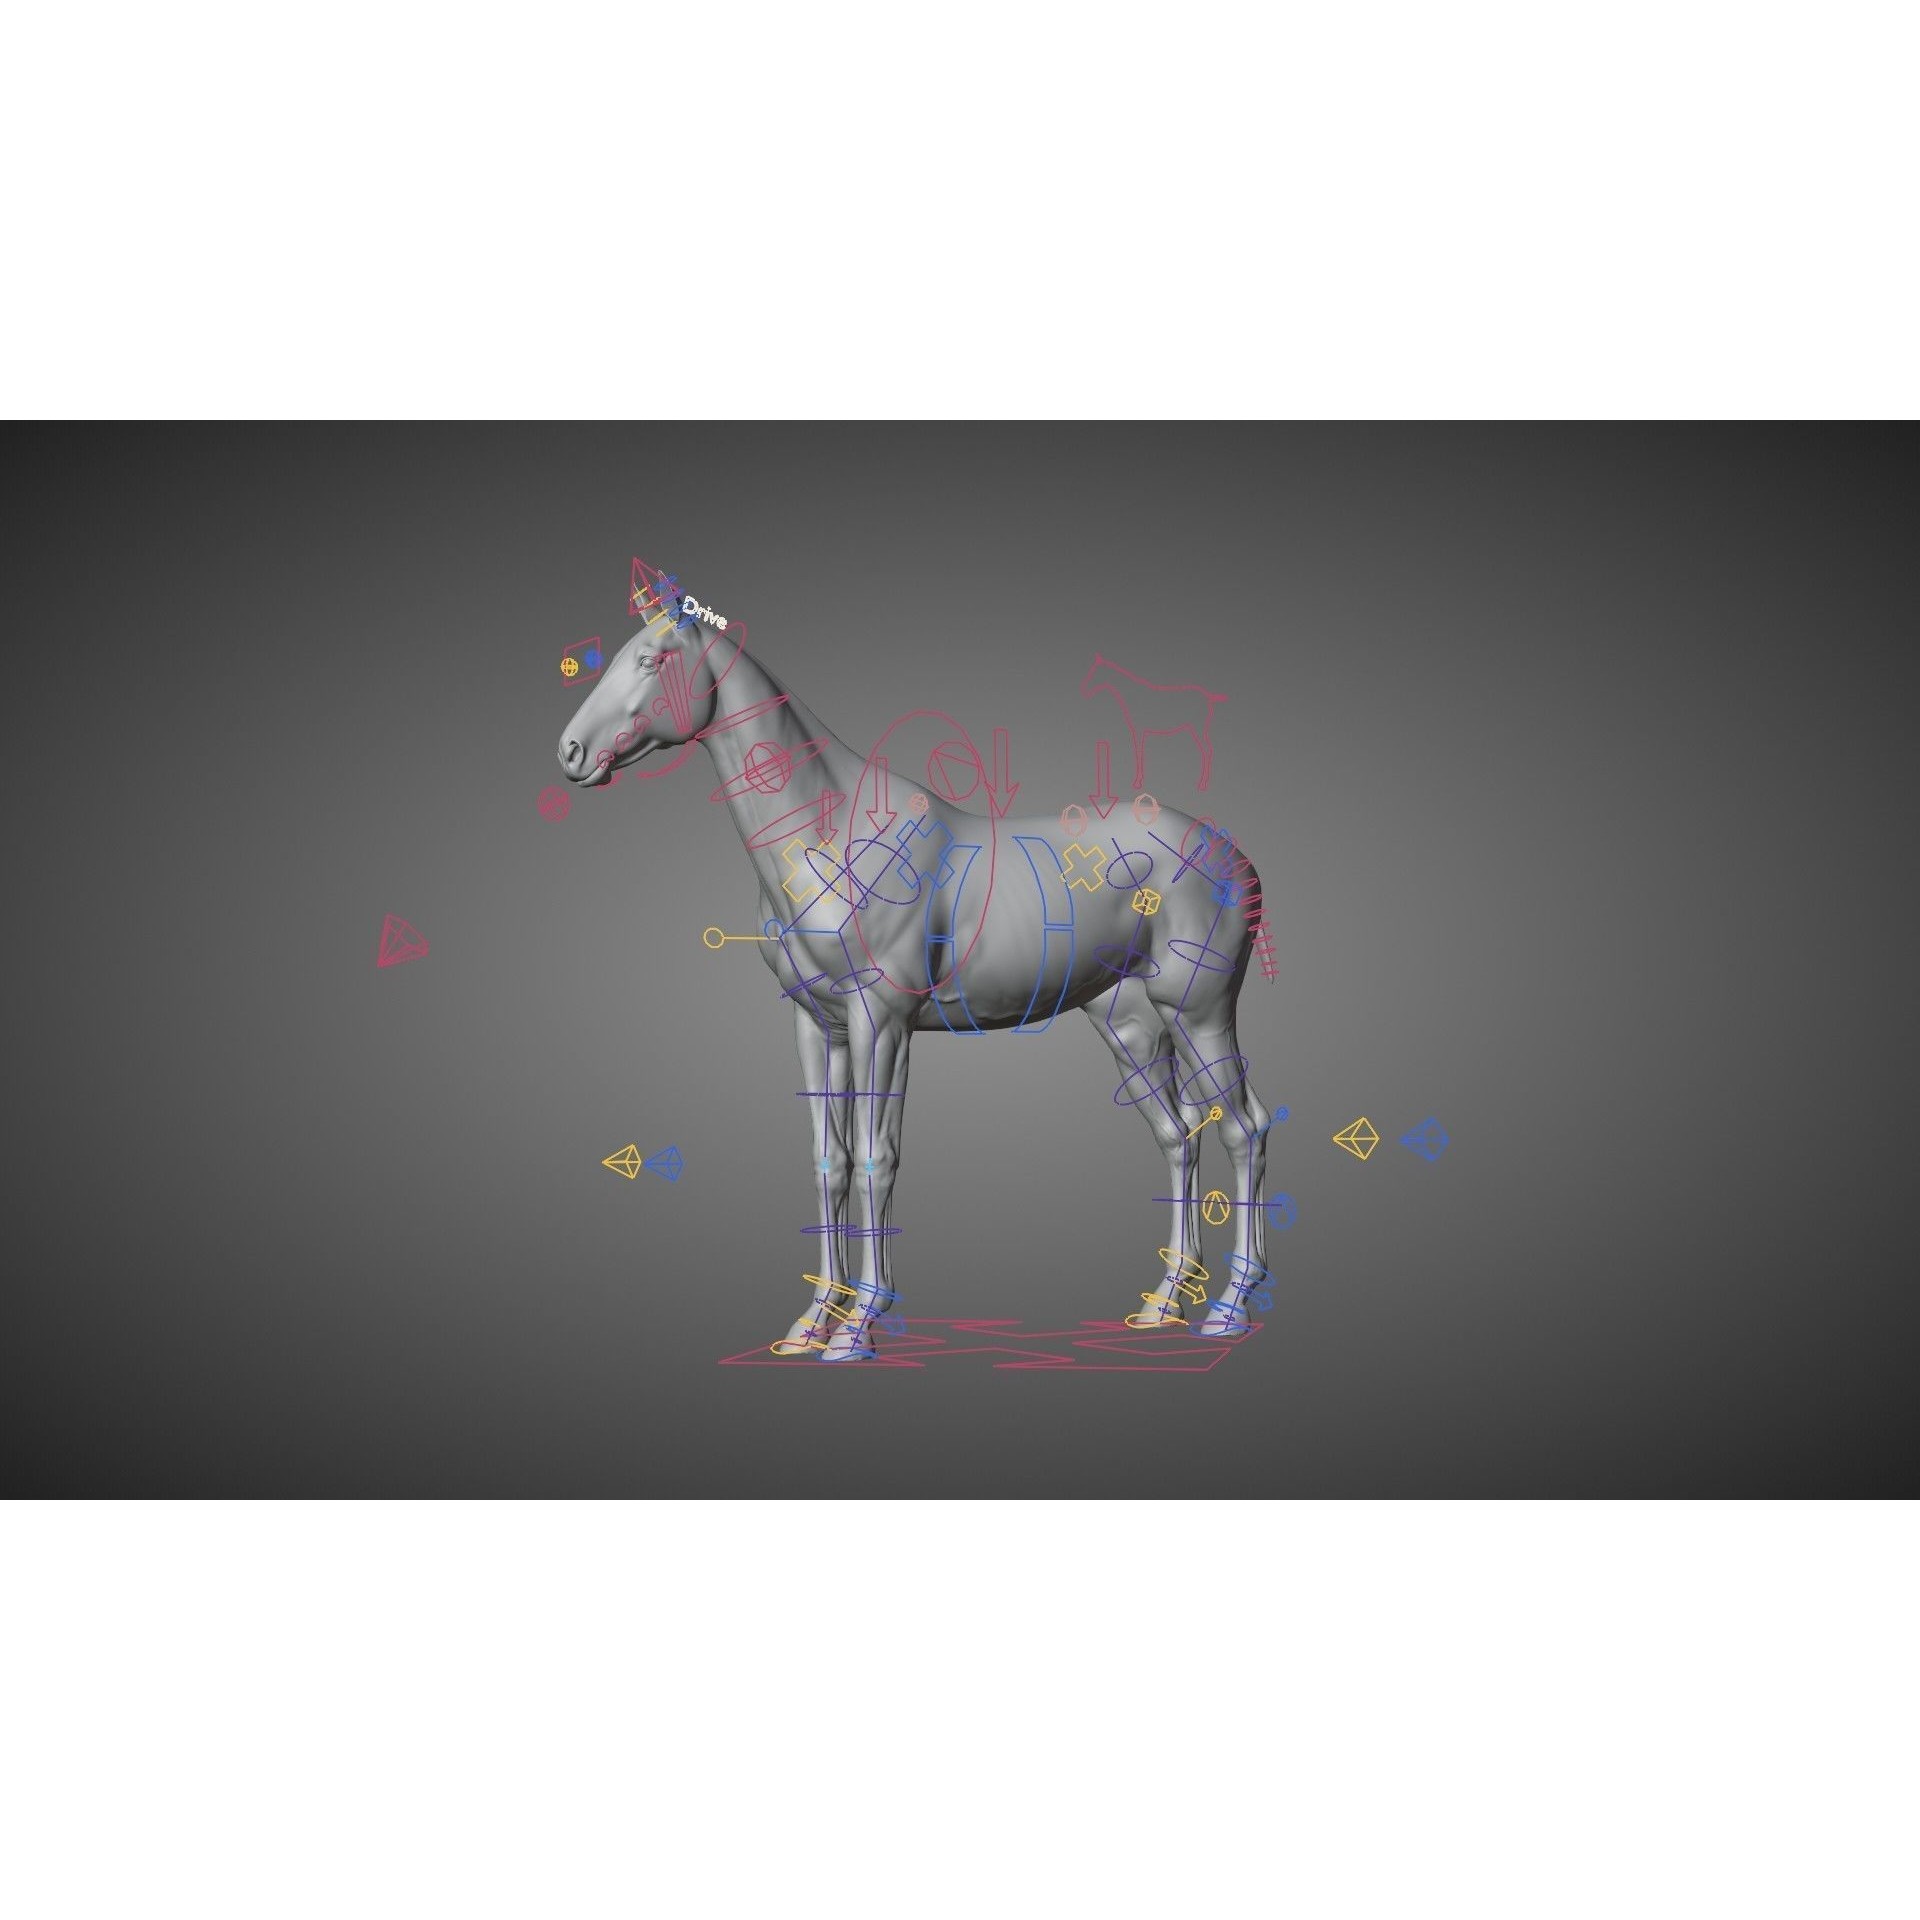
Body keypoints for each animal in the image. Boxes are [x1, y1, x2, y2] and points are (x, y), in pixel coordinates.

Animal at [557, 585, 1274, 1362]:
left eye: (650, 659)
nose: (571, 751)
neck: (829, 836)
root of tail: (1236, 857)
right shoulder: (819, 1024)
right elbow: (830, 1161)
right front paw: (813, 1321)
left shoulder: (883, 1020)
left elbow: (877, 1158)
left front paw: (859, 1325)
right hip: (1130, 1023)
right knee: (1180, 1133)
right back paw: (1164, 1304)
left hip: (1198, 1011)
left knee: (1245, 1128)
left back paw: (1230, 1307)